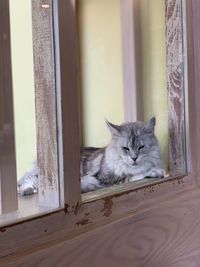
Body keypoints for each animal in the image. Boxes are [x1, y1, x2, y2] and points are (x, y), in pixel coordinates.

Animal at [17, 118, 164, 196]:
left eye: (141, 147)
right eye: (126, 148)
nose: (134, 158)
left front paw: (156, 171)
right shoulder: (107, 179)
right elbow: (134, 176)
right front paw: (155, 172)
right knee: (28, 181)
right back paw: (27, 190)